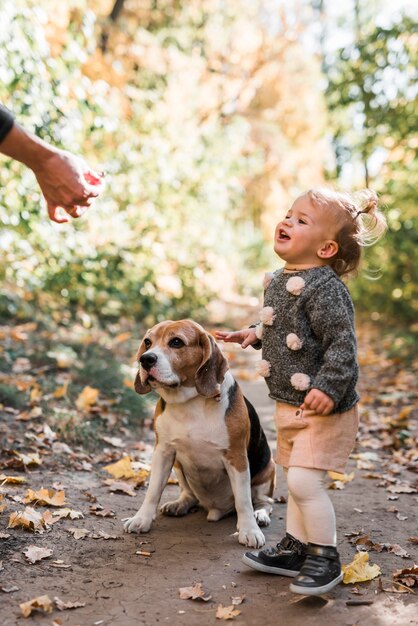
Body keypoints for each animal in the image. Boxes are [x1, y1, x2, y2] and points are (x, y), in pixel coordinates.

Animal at [122, 320, 276, 544]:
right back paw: (179, 503)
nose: (145, 359)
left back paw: (260, 514)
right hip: (178, 465)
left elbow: (243, 500)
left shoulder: (237, 457)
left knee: (263, 500)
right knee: (189, 494)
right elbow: (152, 491)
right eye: (148, 342)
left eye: (176, 342)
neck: (189, 404)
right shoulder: (162, 452)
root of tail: (216, 509)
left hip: (269, 467)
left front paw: (249, 530)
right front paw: (141, 519)